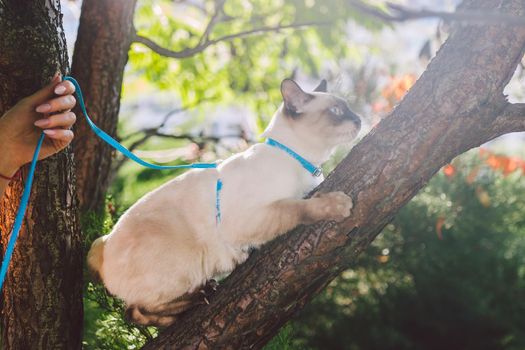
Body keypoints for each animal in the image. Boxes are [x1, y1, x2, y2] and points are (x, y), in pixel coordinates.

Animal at [89, 78, 360, 326]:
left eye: (348, 108)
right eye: (337, 111)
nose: (358, 119)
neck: (304, 163)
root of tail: (103, 244)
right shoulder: (251, 218)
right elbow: (299, 207)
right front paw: (338, 205)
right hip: (183, 265)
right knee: (136, 312)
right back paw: (199, 297)